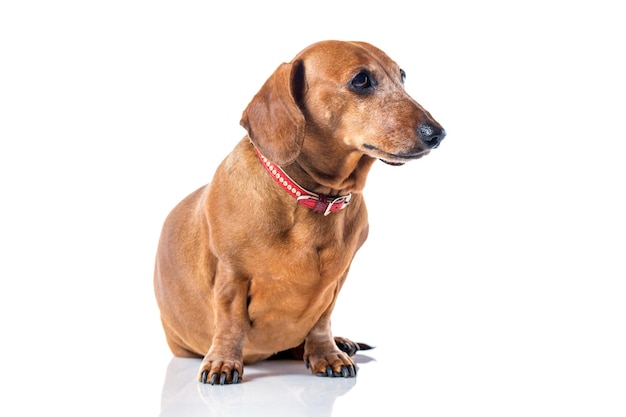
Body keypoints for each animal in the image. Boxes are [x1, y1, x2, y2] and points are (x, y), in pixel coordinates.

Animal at [152, 39, 444, 384]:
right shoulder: (231, 276)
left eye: (402, 76)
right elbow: (231, 322)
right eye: (361, 80)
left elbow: (321, 321)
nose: (437, 134)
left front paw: (327, 354)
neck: (316, 198)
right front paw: (223, 361)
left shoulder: (334, 284)